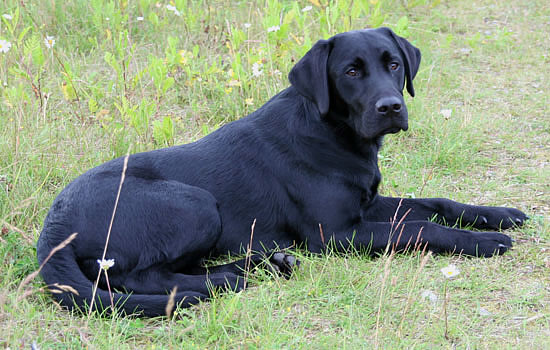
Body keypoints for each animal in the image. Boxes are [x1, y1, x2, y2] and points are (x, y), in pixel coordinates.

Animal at [36, 28, 528, 318]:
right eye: (351, 71)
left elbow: (435, 204)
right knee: (141, 278)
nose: (391, 107)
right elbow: (423, 227)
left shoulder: (366, 204)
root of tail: (54, 225)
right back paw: (230, 279)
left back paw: (268, 263)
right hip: (195, 203)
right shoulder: (336, 234)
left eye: (393, 64)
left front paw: (498, 215)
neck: (333, 132)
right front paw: (483, 241)